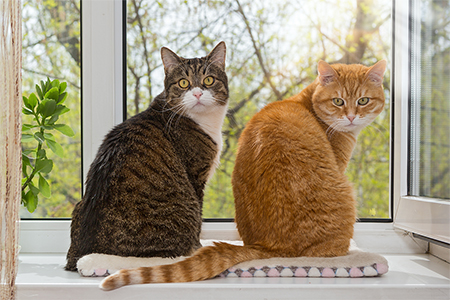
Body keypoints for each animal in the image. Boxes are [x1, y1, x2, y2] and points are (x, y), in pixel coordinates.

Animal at [64, 41, 229, 270]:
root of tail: (83, 254)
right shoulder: (196, 175)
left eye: (209, 80)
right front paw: (198, 247)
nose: (197, 94)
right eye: (183, 83)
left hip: (78, 205)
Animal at [101, 59, 386, 290]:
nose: (351, 117)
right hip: (346, 194)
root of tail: (269, 247)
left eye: (363, 101)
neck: (309, 105)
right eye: (338, 101)